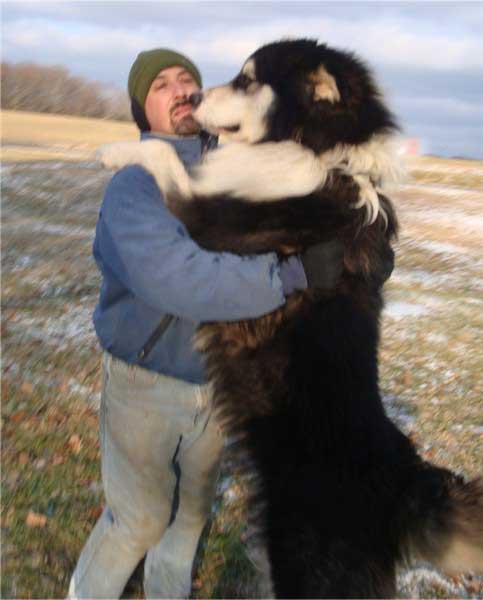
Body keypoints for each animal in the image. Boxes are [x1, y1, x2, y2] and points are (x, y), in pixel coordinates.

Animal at [99, 39, 483, 596]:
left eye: (247, 80)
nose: (192, 97)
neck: (314, 150)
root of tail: (403, 482)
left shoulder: (205, 220)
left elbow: (165, 154)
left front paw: (113, 150)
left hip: (305, 564)